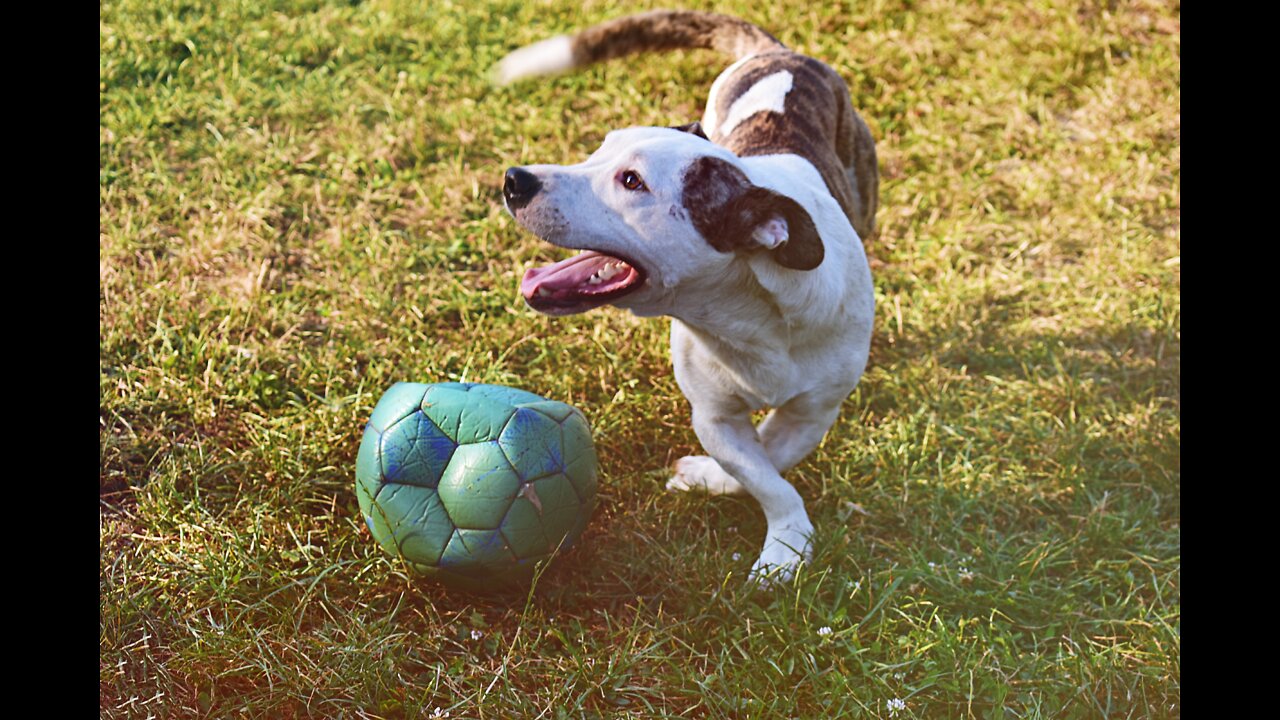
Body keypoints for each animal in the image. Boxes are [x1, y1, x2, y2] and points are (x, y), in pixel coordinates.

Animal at [494, 9, 875, 584]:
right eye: (598, 150)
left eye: (631, 181)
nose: (515, 179)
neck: (746, 314)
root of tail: (781, 53)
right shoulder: (714, 416)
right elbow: (762, 473)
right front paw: (766, 520)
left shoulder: (812, 412)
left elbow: (774, 461)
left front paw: (782, 542)